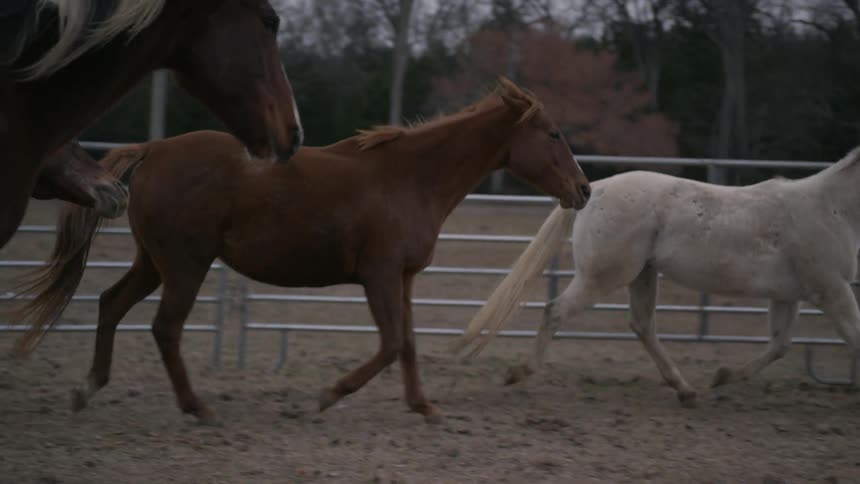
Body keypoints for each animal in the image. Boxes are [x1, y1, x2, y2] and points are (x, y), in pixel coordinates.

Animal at [11, 78, 591, 424]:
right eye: (553, 133)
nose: (583, 190)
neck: (410, 179)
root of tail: (154, 149)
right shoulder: (379, 275)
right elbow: (389, 344)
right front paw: (327, 395)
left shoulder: (402, 279)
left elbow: (406, 344)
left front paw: (423, 406)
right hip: (185, 266)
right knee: (165, 328)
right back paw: (198, 408)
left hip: (153, 263)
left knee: (111, 304)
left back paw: (88, 389)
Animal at [453, 146, 860, 407]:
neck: (832, 207)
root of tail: (596, 188)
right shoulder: (832, 289)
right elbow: (853, 337)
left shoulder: (789, 295)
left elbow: (780, 345)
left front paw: (722, 376)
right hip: (603, 276)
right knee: (556, 310)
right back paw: (519, 372)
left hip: (643, 275)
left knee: (642, 325)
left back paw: (686, 390)